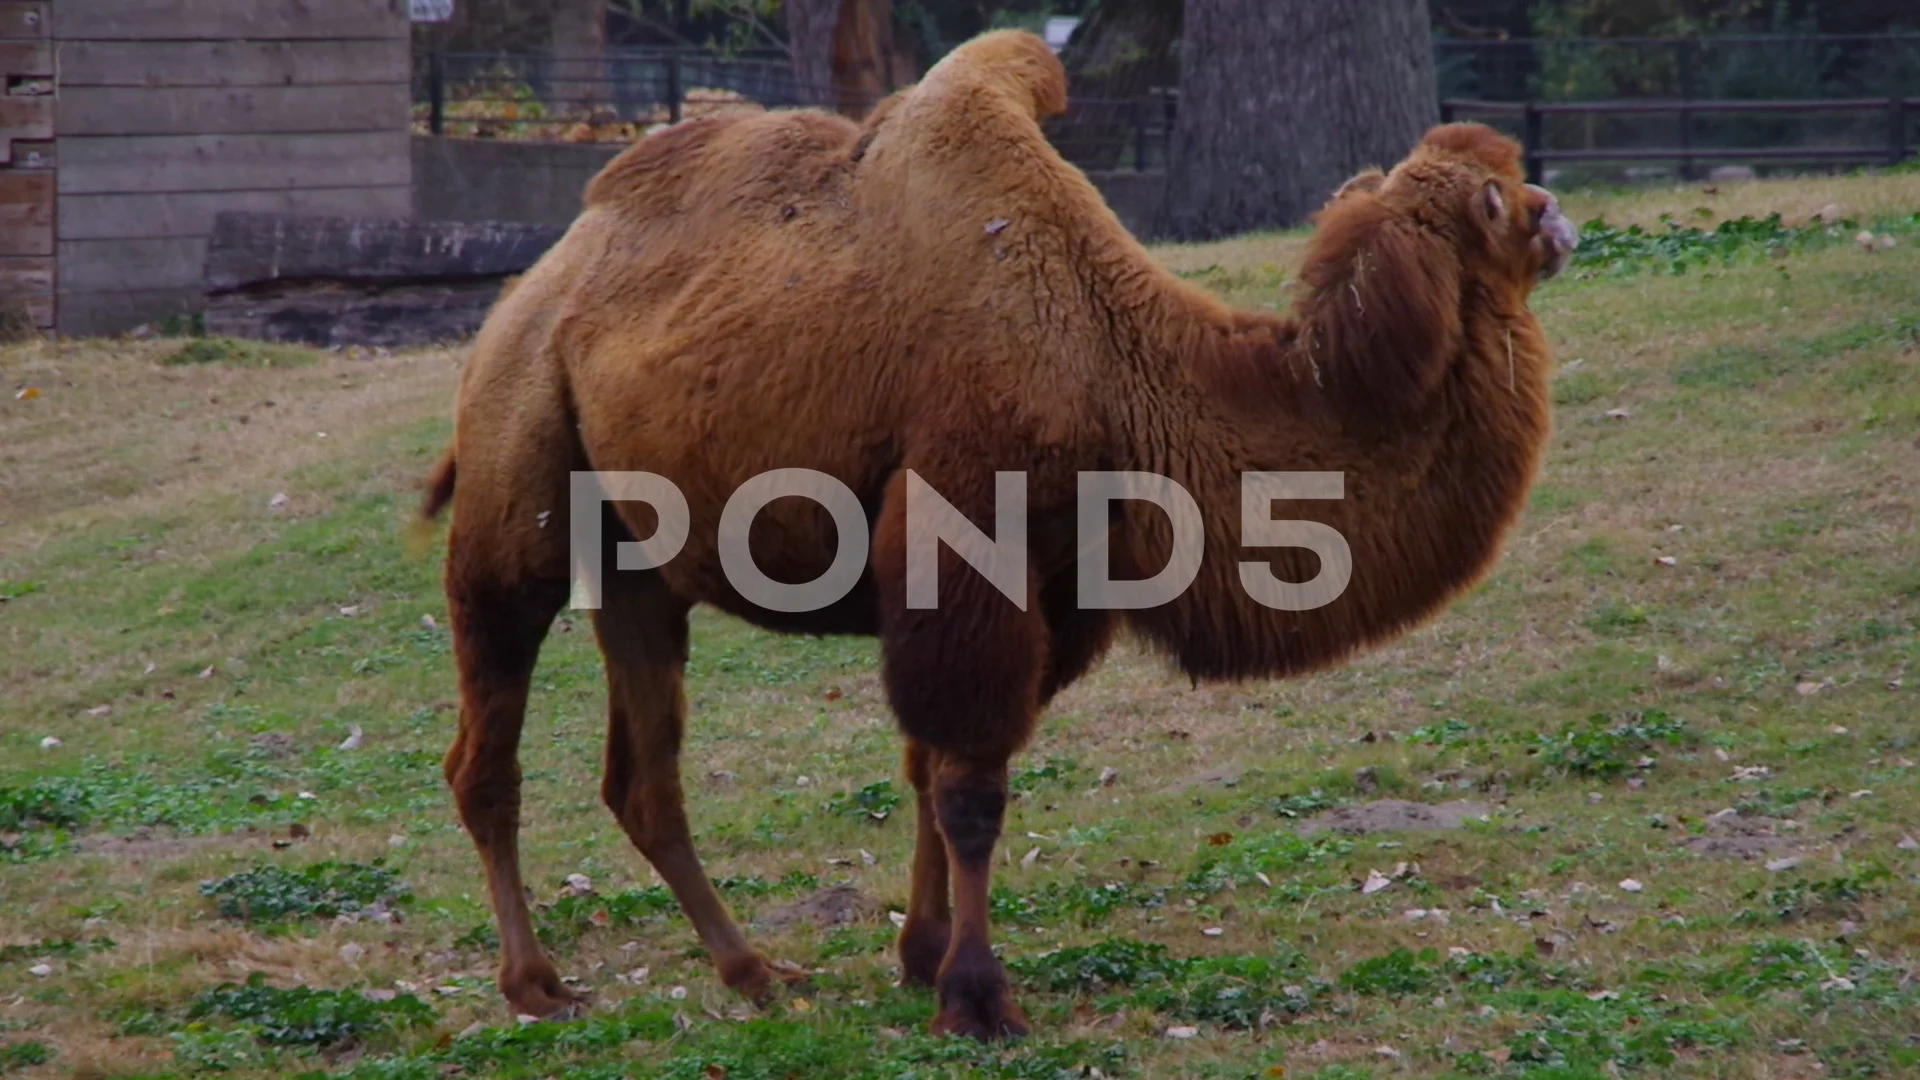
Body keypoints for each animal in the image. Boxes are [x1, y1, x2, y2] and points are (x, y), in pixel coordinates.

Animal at [420, 27, 1574, 1037]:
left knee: (643, 774)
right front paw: (977, 1000)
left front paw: (922, 956)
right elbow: (971, 788)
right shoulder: (968, 551)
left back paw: (754, 972)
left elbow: (931, 772)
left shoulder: (1054, 593)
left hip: (637, 563)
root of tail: (527, 293)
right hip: (517, 491)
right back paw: (537, 985)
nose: (1560, 216)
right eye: (1501, 200)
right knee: (488, 746)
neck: (1121, 369)